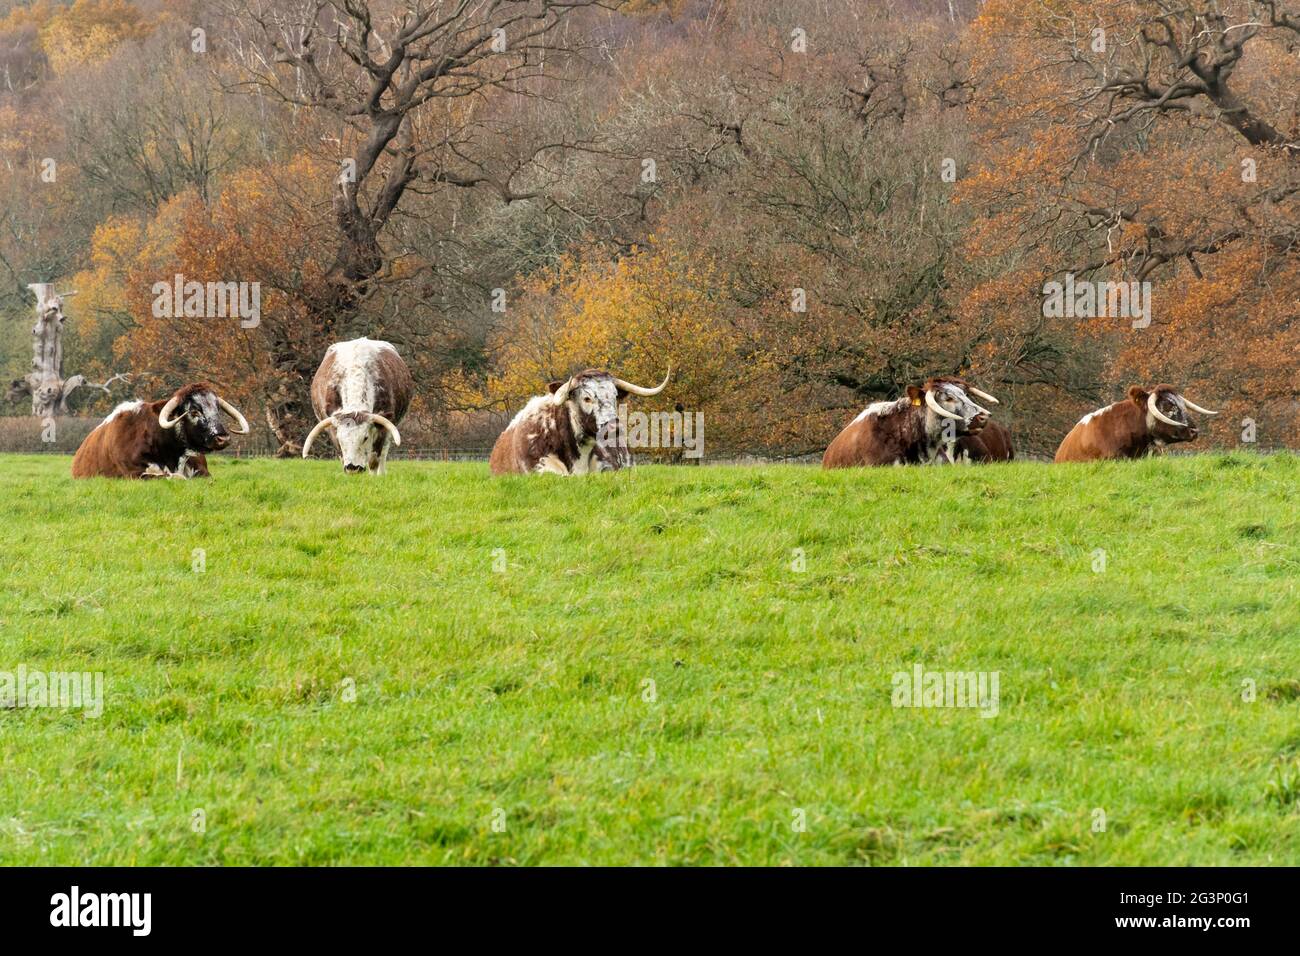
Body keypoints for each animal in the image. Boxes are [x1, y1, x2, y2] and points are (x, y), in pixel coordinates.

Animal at [72, 382, 249, 481]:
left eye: (217, 409)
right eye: (194, 411)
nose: (223, 438)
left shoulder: (204, 471)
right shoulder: (135, 474)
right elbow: (174, 477)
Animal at [300, 338, 410, 476]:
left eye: (365, 437)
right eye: (340, 439)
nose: (352, 468)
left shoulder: (382, 428)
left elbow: (374, 461)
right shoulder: (332, 430)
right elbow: (342, 456)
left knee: (384, 453)